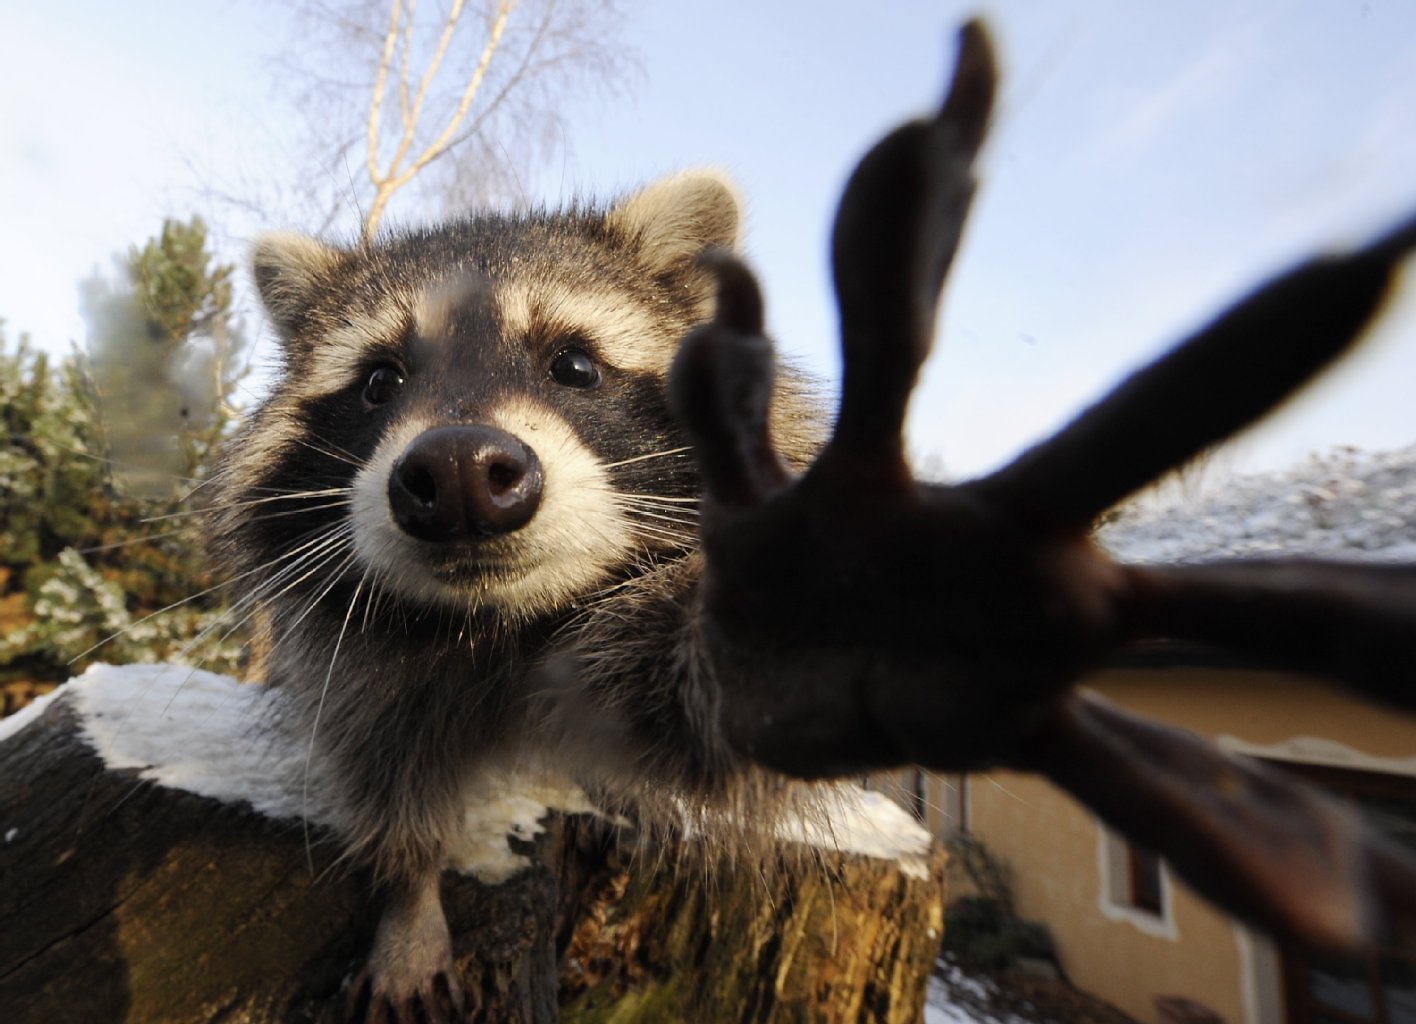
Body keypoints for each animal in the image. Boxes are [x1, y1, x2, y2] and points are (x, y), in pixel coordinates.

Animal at [215, 174, 826, 1019]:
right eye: (379, 381)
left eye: (574, 365)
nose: (459, 474)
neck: (502, 619)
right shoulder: (353, 670)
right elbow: (380, 766)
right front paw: (409, 893)